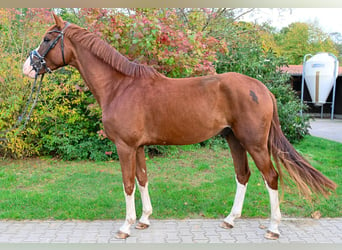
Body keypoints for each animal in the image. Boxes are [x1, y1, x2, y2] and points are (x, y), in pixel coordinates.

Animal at [24, 14, 336, 240]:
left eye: (47, 38)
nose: (27, 67)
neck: (119, 86)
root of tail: (262, 89)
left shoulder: (125, 146)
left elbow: (127, 183)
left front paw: (126, 226)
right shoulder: (138, 147)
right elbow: (142, 179)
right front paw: (144, 220)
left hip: (255, 143)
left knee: (271, 177)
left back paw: (273, 228)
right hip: (234, 139)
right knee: (243, 175)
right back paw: (229, 220)